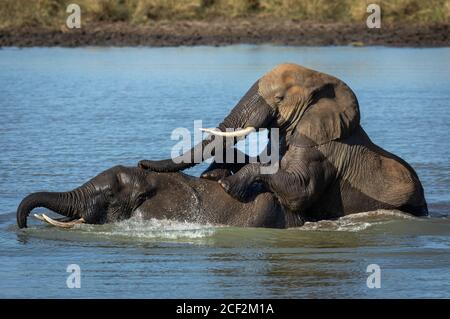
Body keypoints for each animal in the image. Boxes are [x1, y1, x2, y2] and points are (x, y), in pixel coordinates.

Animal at [139, 62, 428, 219]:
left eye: (279, 98)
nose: (141, 162)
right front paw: (213, 174)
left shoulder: (323, 147)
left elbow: (300, 191)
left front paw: (226, 184)